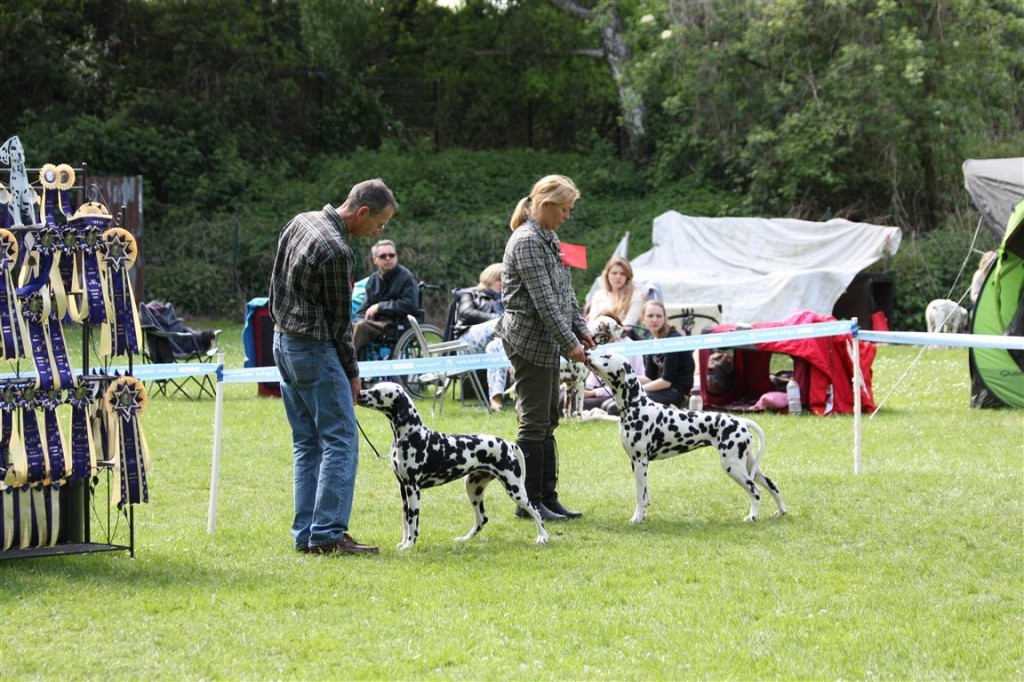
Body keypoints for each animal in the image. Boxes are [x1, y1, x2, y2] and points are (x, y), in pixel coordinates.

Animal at [357, 382, 548, 549]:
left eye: (377, 392)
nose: (358, 393)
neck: (411, 435)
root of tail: (508, 444)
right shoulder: (403, 488)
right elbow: (405, 521)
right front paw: (403, 543)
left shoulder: (413, 488)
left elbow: (413, 521)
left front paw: (409, 545)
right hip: (473, 488)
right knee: (482, 519)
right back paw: (464, 539)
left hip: (515, 490)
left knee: (536, 512)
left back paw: (542, 537)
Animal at [584, 352, 787, 524]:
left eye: (606, 356)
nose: (586, 353)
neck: (636, 405)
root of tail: (741, 421)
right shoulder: (636, 463)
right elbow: (645, 494)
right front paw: (643, 515)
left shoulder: (640, 461)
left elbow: (639, 496)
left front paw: (637, 518)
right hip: (749, 465)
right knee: (773, 485)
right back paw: (781, 511)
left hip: (733, 466)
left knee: (756, 491)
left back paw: (752, 516)